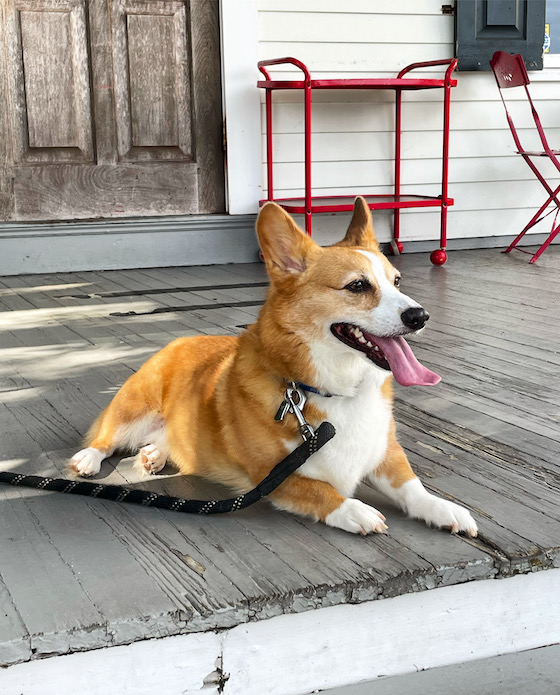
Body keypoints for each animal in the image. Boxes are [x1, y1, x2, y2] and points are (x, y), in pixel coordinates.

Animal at [71, 198, 476, 540]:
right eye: (358, 285)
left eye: (397, 282)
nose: (420, 316)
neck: (333, 390)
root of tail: (178, 341)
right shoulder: (271, 476)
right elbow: (319, 489)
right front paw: (355, 510)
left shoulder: (386, 454)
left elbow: (412, 486)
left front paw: (445, 509)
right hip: (132, 409)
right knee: (105, 438)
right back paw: (88, 460)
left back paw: (153, 454)